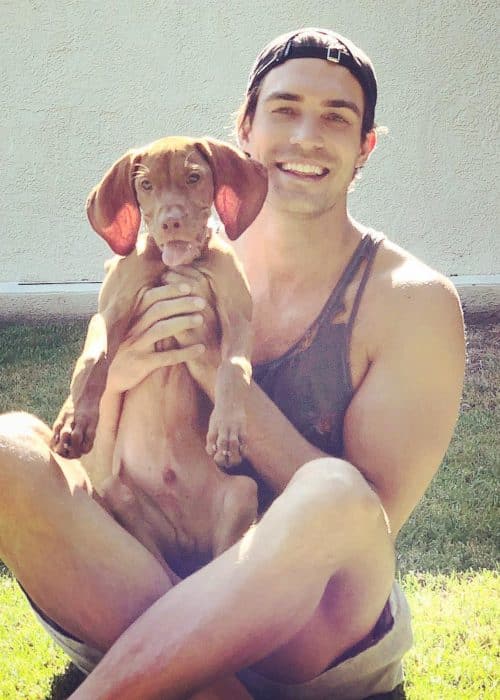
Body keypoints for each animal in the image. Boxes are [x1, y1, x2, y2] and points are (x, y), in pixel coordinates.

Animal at [50, 137, 268, 576]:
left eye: (194, 177)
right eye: (146, 185)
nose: (170, 222)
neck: (178, 263)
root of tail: (186, 542)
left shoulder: (238, 317)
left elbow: (234, 370)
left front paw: (227, 429)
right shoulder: (110, 311)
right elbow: (93, 362)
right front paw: (74, 422)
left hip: (240, 493)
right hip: (117, 493)